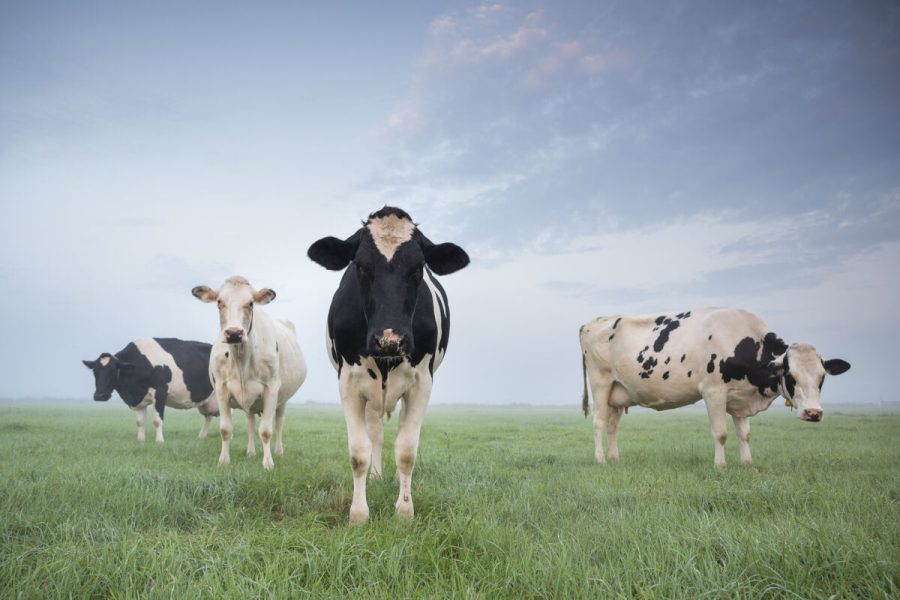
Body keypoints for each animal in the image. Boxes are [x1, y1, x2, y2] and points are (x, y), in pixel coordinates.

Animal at [82, 340, 220, 442]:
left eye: (112, 371)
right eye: (95, 372)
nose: (99, 395)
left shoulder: (160, 391)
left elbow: (157, 420)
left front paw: (159, 441)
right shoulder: (137, 399)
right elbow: (140, 422)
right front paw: (141, 440)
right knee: (208, 416)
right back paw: (201, 437)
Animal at [192, 276, 308, 468]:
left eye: (251, 303)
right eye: (219, 302)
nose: (234, 333)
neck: (241, 361)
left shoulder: (271, 388)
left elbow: (266, 430)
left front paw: (268, 463)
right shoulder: (221, 389)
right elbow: (226, 429)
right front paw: (224, 460)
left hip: (283, 399)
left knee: (278, 423)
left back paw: (278, 451)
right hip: (250, 402)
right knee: (250, 424)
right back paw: (251, 452)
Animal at [308, 207, 468, 524]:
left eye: (418, 268)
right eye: (360, 266)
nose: (389, 340)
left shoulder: (422, 382)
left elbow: (406, 450)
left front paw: (404, 511)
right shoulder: (348, 380)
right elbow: (359, 452)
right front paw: (358, 514)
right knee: (376, 433)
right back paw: (377, 476)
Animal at [580, 310, 848, 468]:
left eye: (822, 377)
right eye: (791, 376)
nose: (813, 413)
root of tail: (592, 322)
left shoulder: (740, 398)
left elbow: (744, 434)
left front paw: (747, 464)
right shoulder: (713, 391)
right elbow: (721, 433)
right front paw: (721, 466)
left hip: (618, 393)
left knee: (612, 426)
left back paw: (614, 458)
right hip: (601, 383)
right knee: (598, 423)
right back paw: (600, 460)